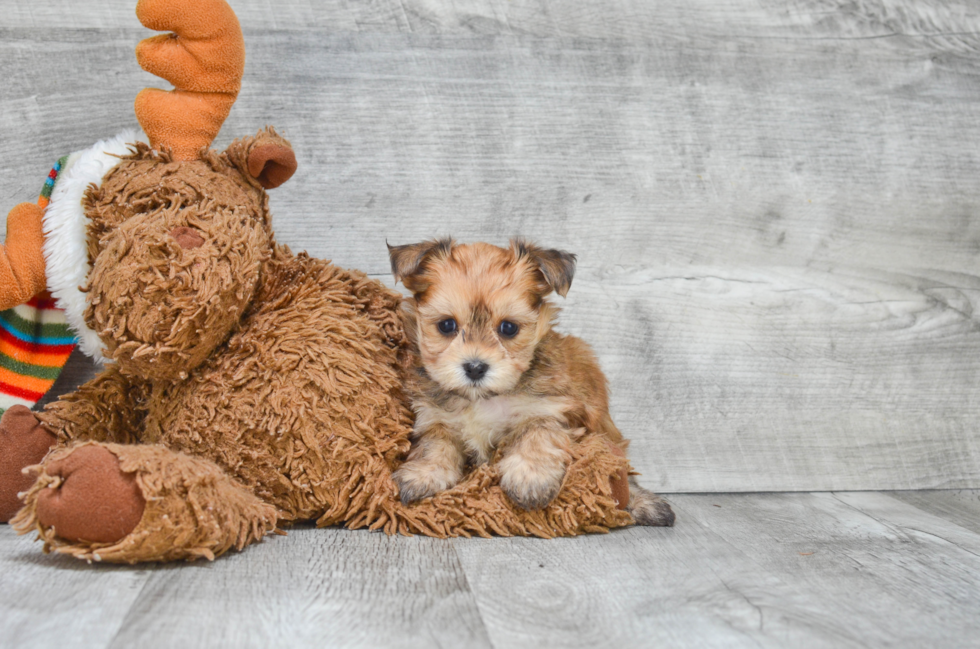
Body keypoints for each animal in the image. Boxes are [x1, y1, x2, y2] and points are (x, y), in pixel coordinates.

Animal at [388, 238, 672, 528]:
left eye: (508, 328)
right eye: (446, 325)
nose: (475, 367)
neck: (482, 399)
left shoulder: (551, 408)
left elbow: (537, 433)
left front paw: (530, 477)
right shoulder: (435, 416)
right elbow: (435, 445)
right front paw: (424, 474)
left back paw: (644, 502)